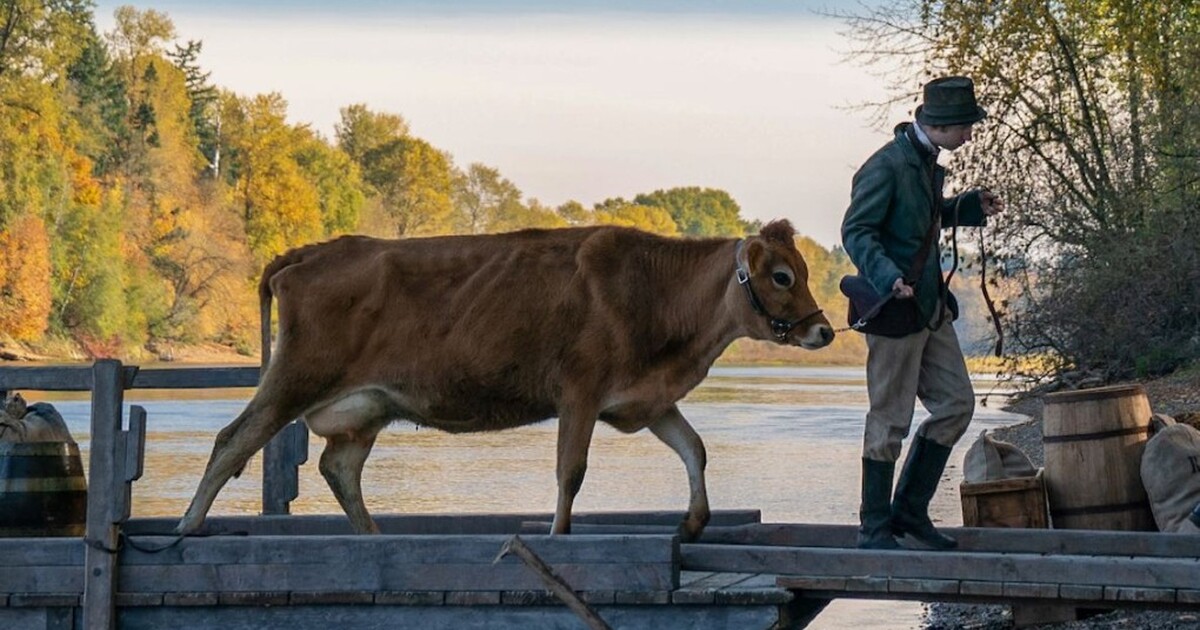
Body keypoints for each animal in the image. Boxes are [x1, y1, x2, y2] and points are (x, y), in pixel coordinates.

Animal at [177, 220, 833, 541]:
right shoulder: (580, 391)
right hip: (295, 376)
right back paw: (187, 527)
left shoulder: (644, 399)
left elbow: (694, 450)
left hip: (365, 408)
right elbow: (571, 472)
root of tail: (310, 251)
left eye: (800, 270)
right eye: (781, 275)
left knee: (338, 468)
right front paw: (558, 534)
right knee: (233, 439)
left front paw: (694, 521)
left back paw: (372, 536)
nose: (825, 330)